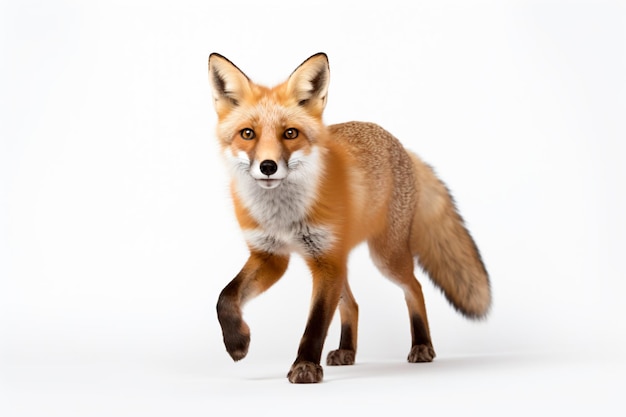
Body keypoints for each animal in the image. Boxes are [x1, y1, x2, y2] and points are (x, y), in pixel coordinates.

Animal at [207, 52, 490, 384]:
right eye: (247, 134)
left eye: (290, 133)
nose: (267, 166)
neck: (283, 216)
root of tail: (401, 146)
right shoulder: (271, 255)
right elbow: (225, 297)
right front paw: (237, 342)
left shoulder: (324, 261)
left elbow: (315, 323)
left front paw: (305, 366)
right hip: (337, 260)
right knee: (353, 305)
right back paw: (347, 351)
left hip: (384, 256)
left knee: (415, 288)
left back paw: (421, 344)